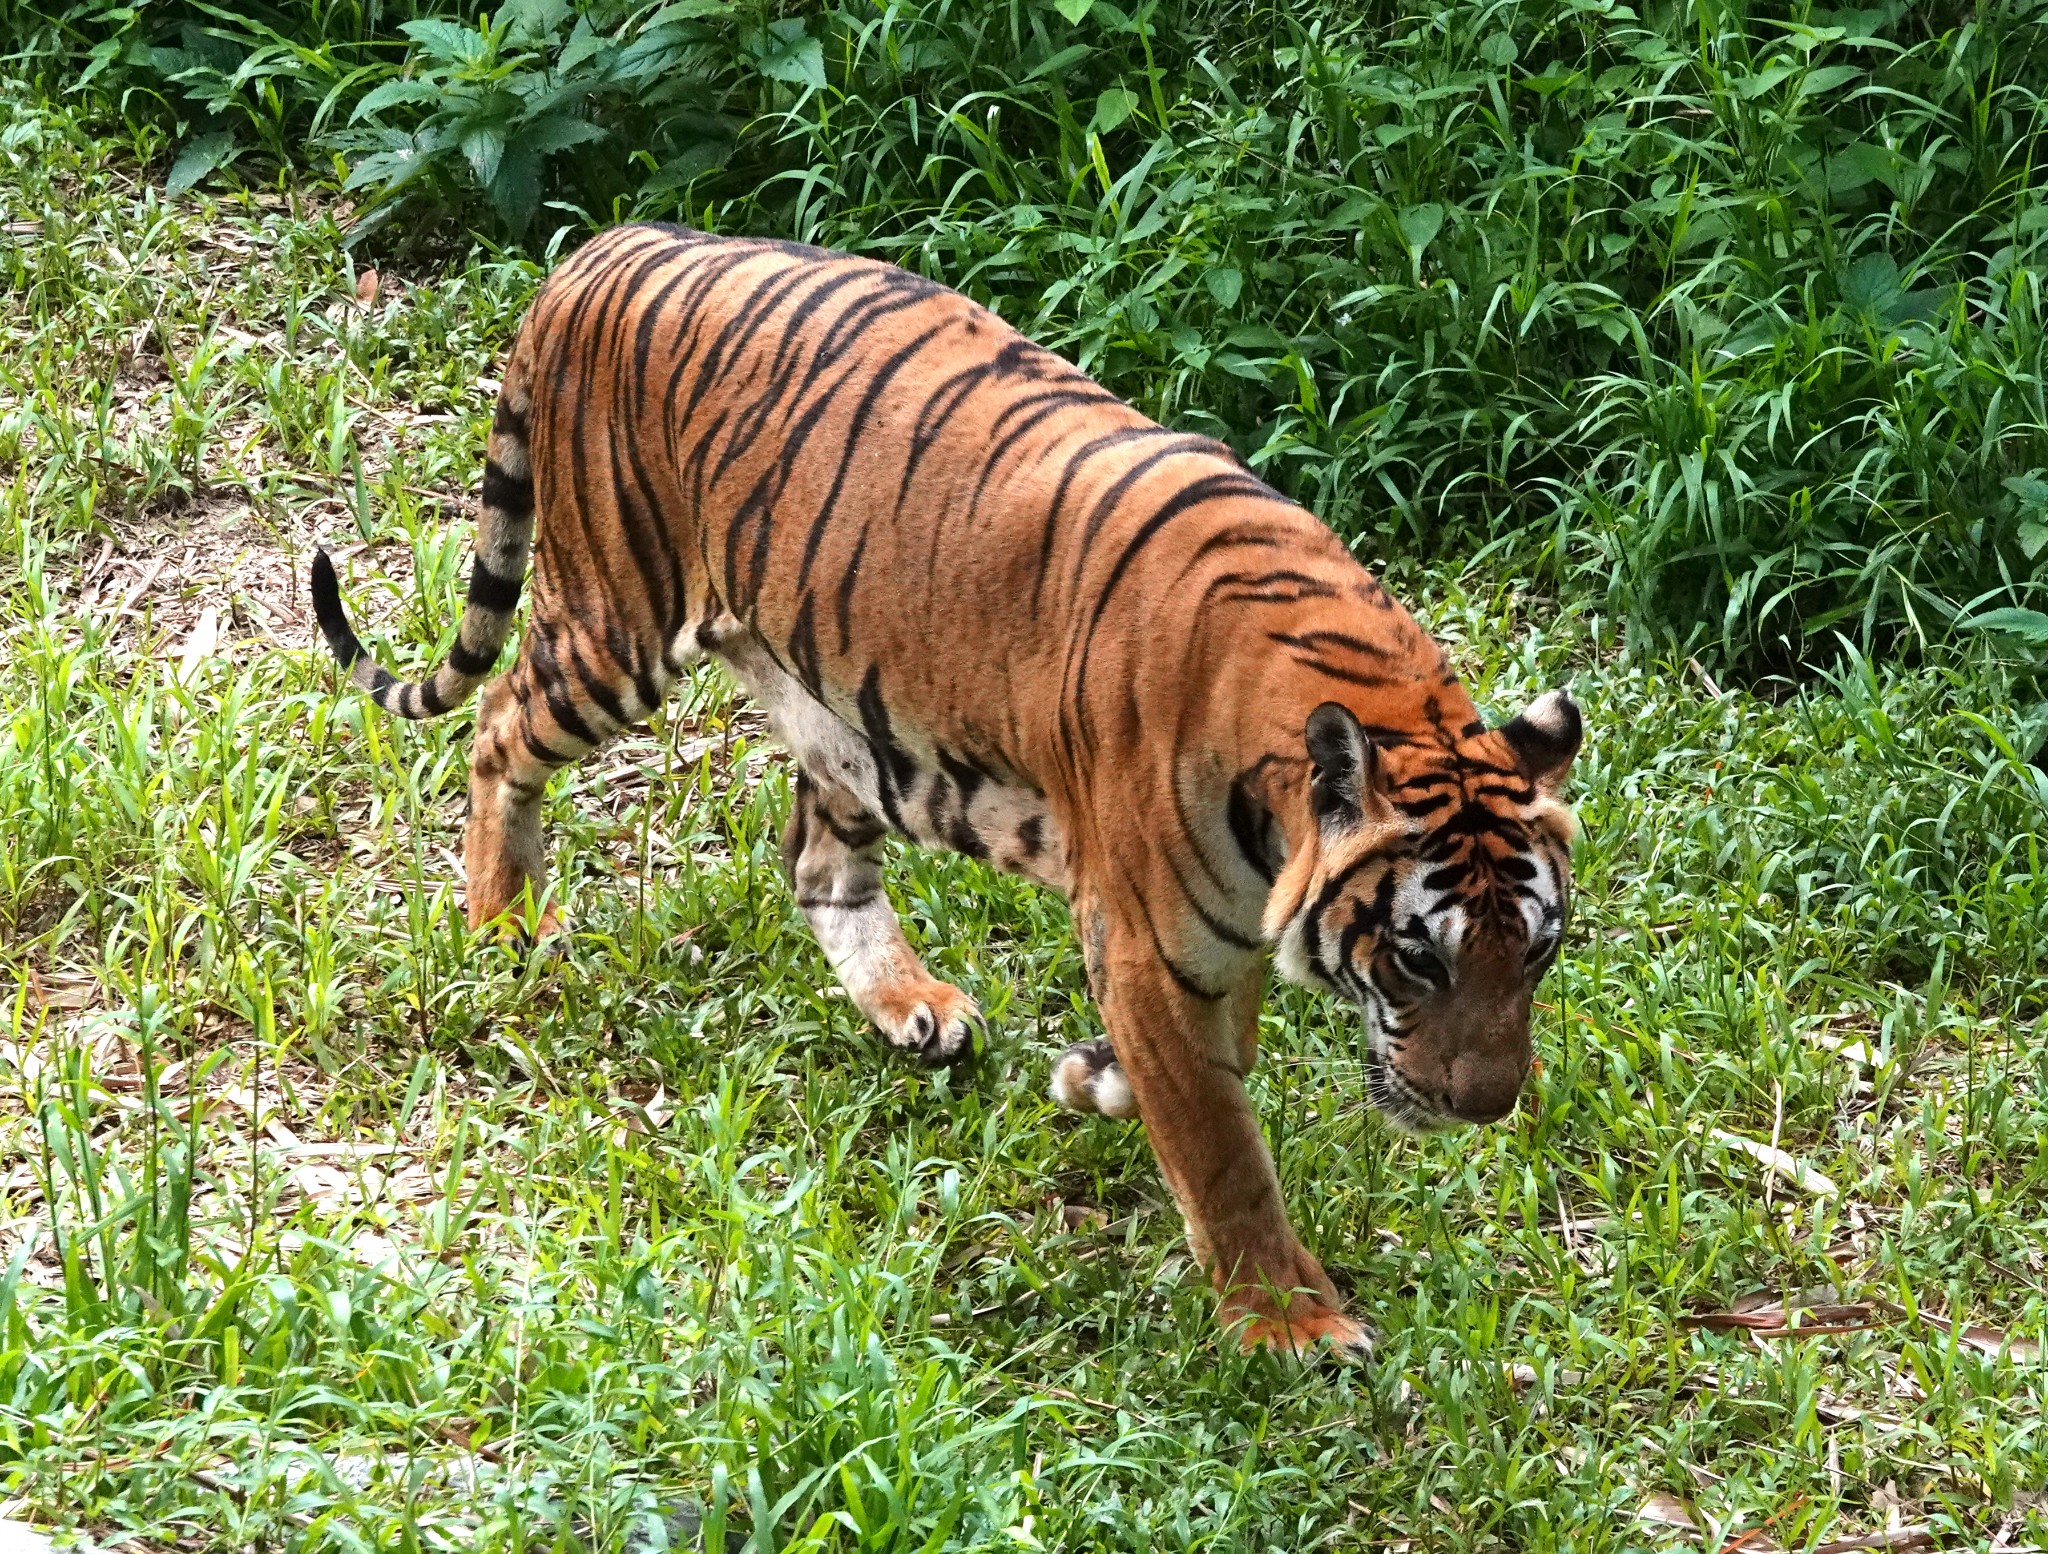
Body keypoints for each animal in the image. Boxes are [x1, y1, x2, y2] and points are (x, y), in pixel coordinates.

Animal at [307, 222, 1581, 1359]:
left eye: (1535, 953)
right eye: (1415, 957)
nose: (1486, 1106)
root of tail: (604, 248)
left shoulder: (1220, 932)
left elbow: (1215, 1064)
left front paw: (1096, 1079)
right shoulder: (1149, 941)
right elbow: (1222, 1147)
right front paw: (1289, 1321)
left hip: (850, 716)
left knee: (815, 863)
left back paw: (906, 1002)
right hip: (612, 628)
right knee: (495, 727)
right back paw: (500, 920)